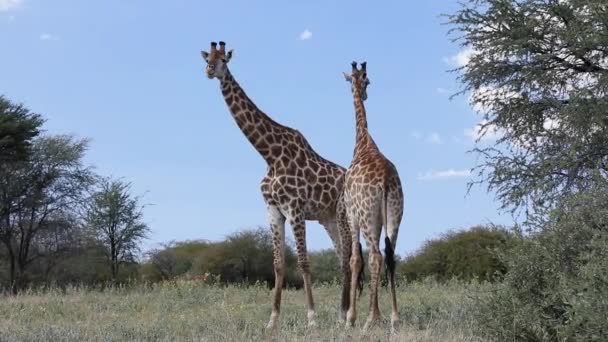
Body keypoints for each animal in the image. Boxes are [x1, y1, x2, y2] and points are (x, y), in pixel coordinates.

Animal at [200, 42, 352, 328]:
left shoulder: (295, 209)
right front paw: (272, 320)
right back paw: (341, 313)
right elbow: (279, 264)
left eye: (224, 60)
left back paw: (348, 314)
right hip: (328, 219)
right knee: (343, 257)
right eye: (207, 58)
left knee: (352, 256)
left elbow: (303, 261)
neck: (269, 154)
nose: (210, 71)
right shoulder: (273, 210)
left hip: (345, 217)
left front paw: (311, 318)